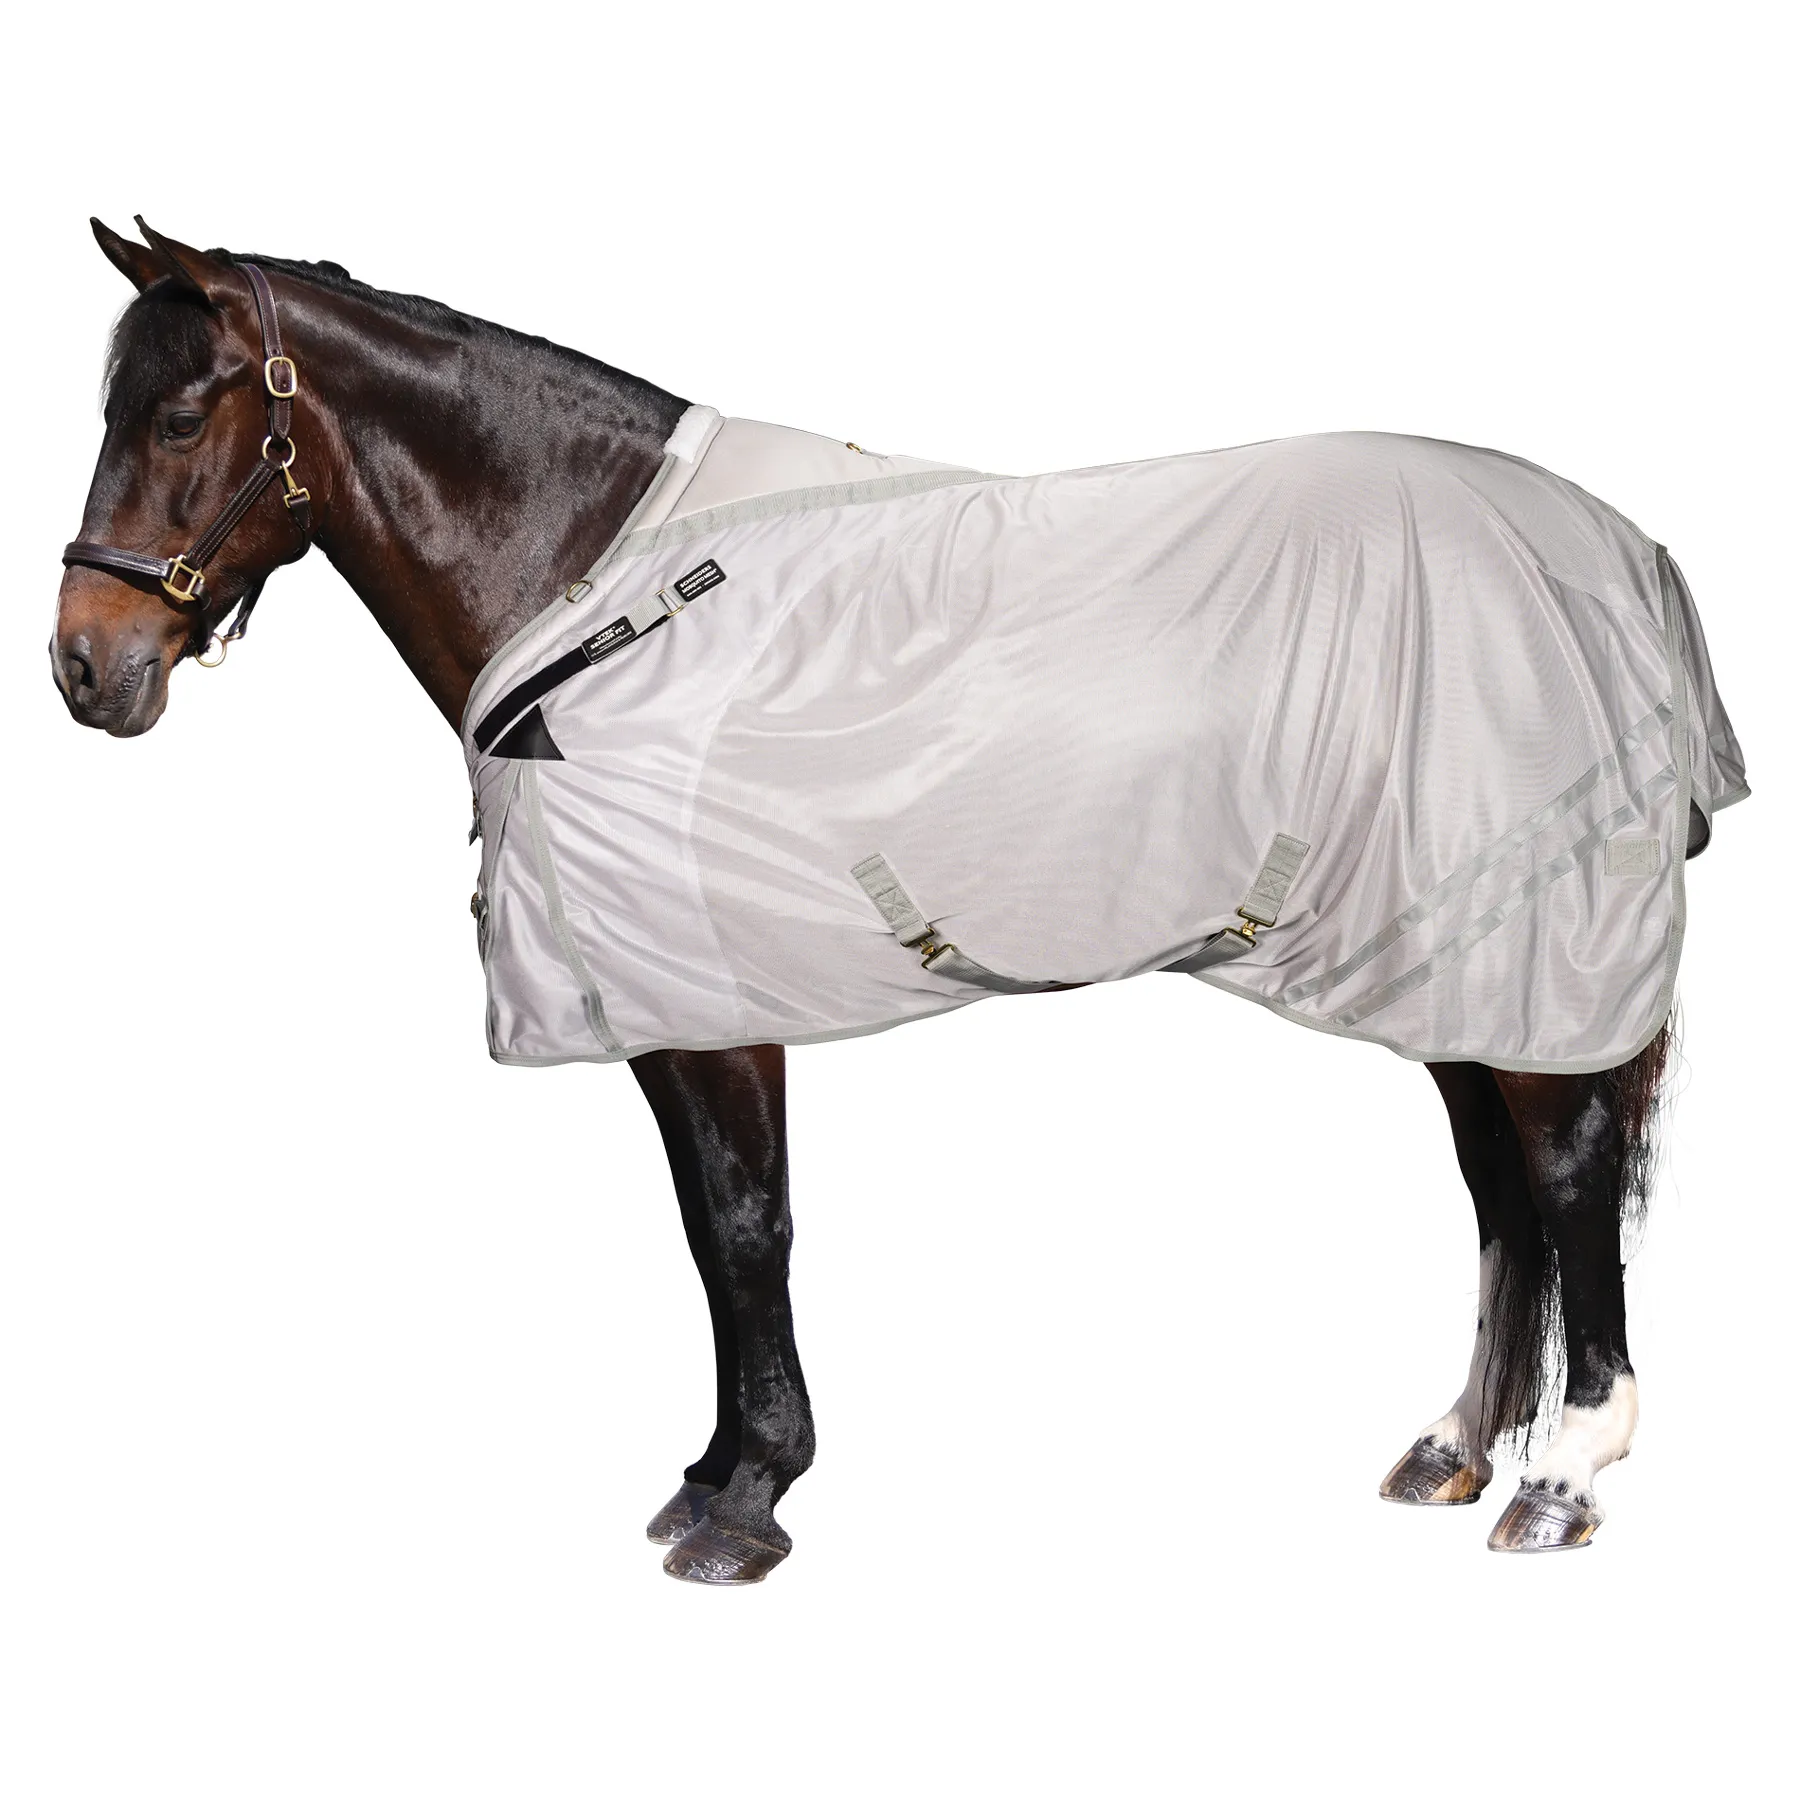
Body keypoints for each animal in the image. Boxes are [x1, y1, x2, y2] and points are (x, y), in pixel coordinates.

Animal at [53, 219, 1747, 1582]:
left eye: (183, 411)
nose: (85, 669)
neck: (608, 589)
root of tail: (1623, 553)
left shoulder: (710, 999)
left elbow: (744, 1225)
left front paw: (748, 1503)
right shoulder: (667, 1000)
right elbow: (710, 1230)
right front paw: (716, 1473)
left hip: (1527, 944)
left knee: (1569, 1173)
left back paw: (1564, 1478)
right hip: (1451, 949)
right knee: (1503, 1190)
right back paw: (1458, 1449)